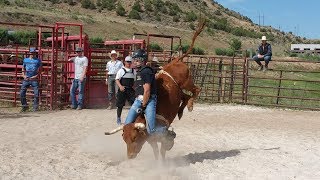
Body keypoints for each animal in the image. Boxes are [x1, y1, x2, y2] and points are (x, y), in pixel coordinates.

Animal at [104, 17, 206, 159]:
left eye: (135, 138)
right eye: (124, 138)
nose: (130, 156)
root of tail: (175, 61)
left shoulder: (163, 136)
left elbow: (163, 150)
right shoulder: (151, 141)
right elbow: (156, 152)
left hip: (187, 83)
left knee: (196, 90)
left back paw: (190, 106)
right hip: (180, 91)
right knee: (185, 97)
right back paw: (181, 111)